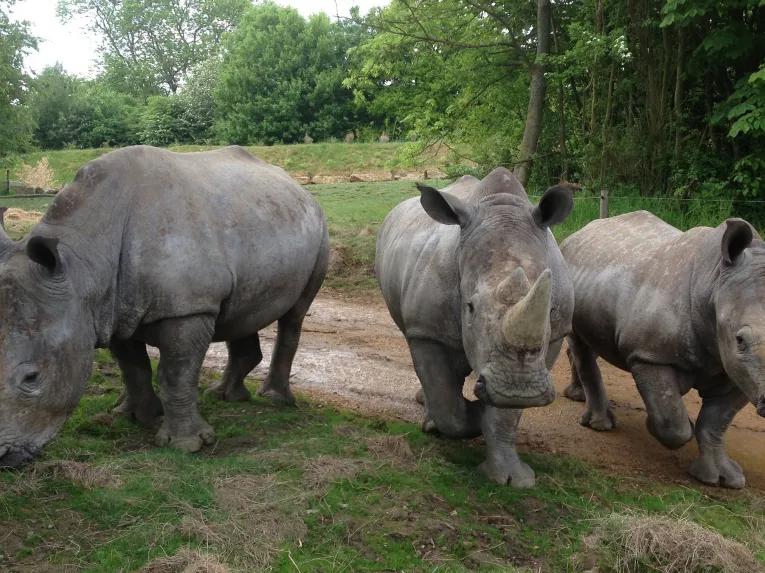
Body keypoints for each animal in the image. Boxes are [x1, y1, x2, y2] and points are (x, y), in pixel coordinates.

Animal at [0, 145, 328, 467]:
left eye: (32, 378)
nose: (4, 459)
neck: (83, 265)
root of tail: (299, 187)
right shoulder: (111, 310)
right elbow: (133, 368)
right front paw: (133, 416)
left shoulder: (188, 308)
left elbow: (176, 374)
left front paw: (186, 445)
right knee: (241, 311)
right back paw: (225, 396)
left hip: (319, 229)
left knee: (294, 315)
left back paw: (274, 400)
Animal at [375, 168, 574, 487]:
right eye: (469, 306)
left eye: (551, 310)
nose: (519, 388)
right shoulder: (427, 331)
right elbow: (447, 403)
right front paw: (471, 415)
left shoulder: (555, 335)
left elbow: (507, 415)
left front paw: (512, 478)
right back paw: (432, 418)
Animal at [561, 211, 765, 488]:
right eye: (740, 339)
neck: (714, 282)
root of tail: (578, 233)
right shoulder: (650, 355)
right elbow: (672, 423)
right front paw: (655, 424)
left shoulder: (737, 372)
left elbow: (715, 422)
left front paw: (725, 479)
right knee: (579, 342)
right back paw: (599, 425)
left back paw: (577, 397)